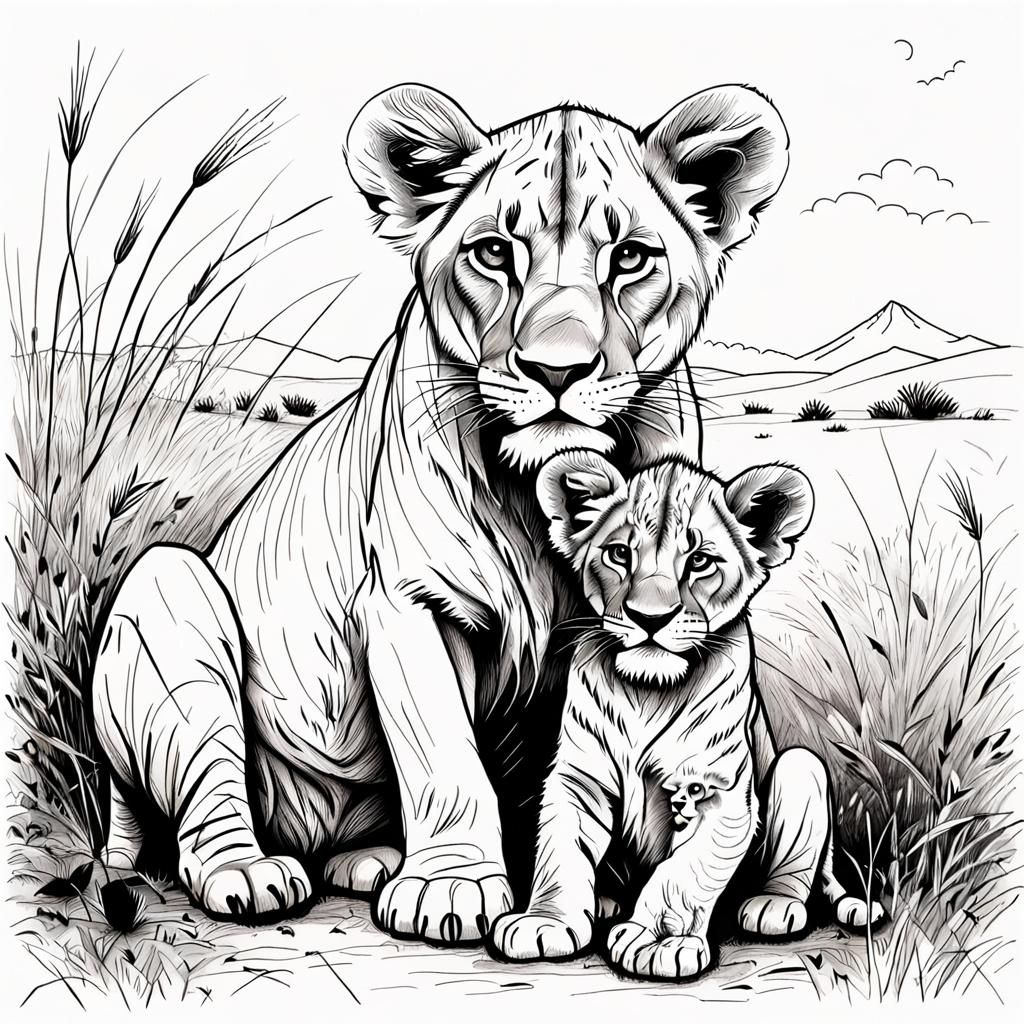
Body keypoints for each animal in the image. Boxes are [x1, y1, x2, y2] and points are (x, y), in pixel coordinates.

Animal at [91, 82, 830, 946]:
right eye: (495, 253)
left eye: (630, 258)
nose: (556, 370)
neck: (530, 487)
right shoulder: (410, 601)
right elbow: (444, 753)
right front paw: (454, 887)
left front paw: (581, 896)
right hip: (168, 583)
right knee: (205, 794)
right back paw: (251, 873)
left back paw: (367, 861)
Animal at [492, 452, 882, 977]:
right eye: (620, 554)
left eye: (699, 561)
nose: (649, 618)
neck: (646, 693)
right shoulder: (577, 777)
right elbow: (560, 850)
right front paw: (545, 922)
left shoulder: (718, 791)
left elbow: (683, 871)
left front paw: (660, 942)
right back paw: (607, 901)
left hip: (800, 767)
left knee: (798, 860)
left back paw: (772, 905)